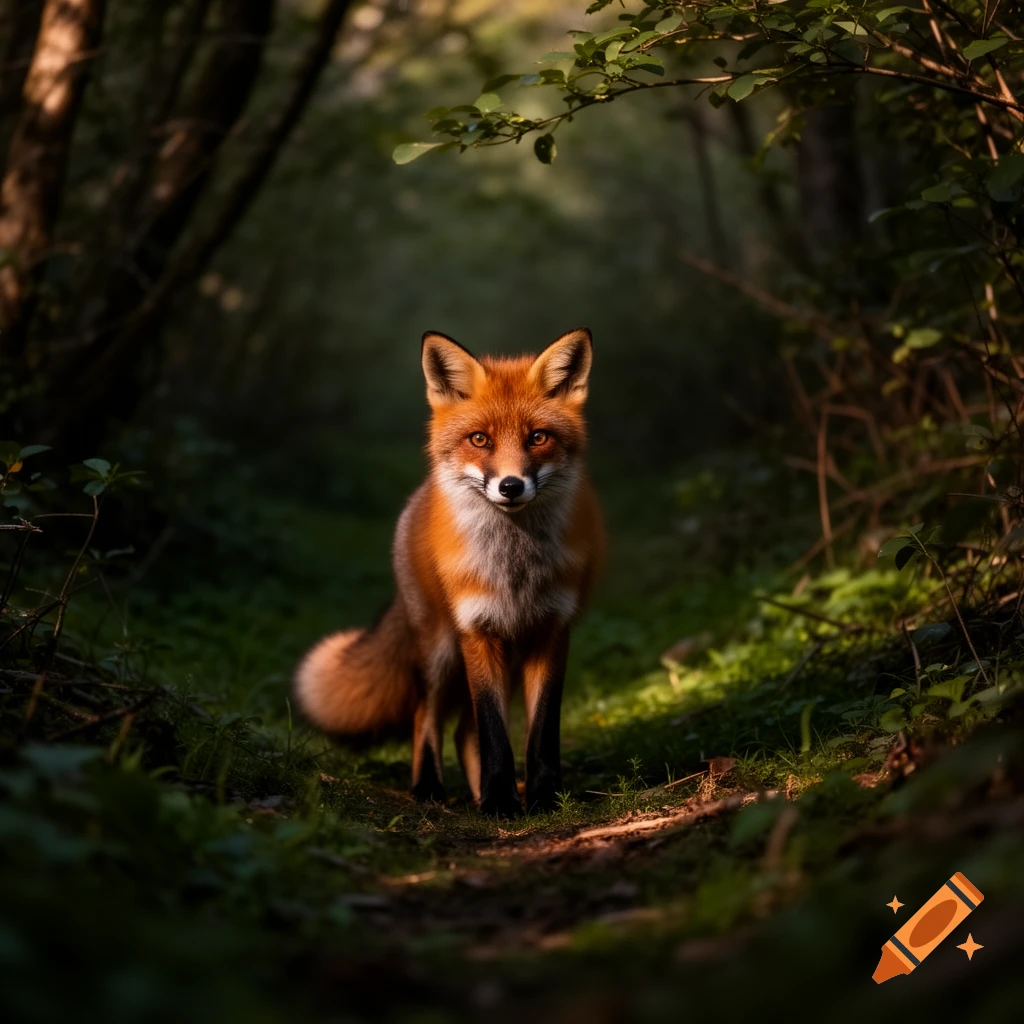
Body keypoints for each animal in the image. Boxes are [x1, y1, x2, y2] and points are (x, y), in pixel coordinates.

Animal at [294, 328, 604, 817]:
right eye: (479, 439)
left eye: (538, 437)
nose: (510, 486)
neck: (514, 570)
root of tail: (417, 501)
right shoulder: (477, 630)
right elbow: (495, 733)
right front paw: (500, 802)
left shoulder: (551, 631)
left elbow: (540, 735)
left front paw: (541, 799)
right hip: (439, 650)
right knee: (427, 716)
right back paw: (429, 789)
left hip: (504, 657)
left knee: (462, 731)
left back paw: (477, 794)